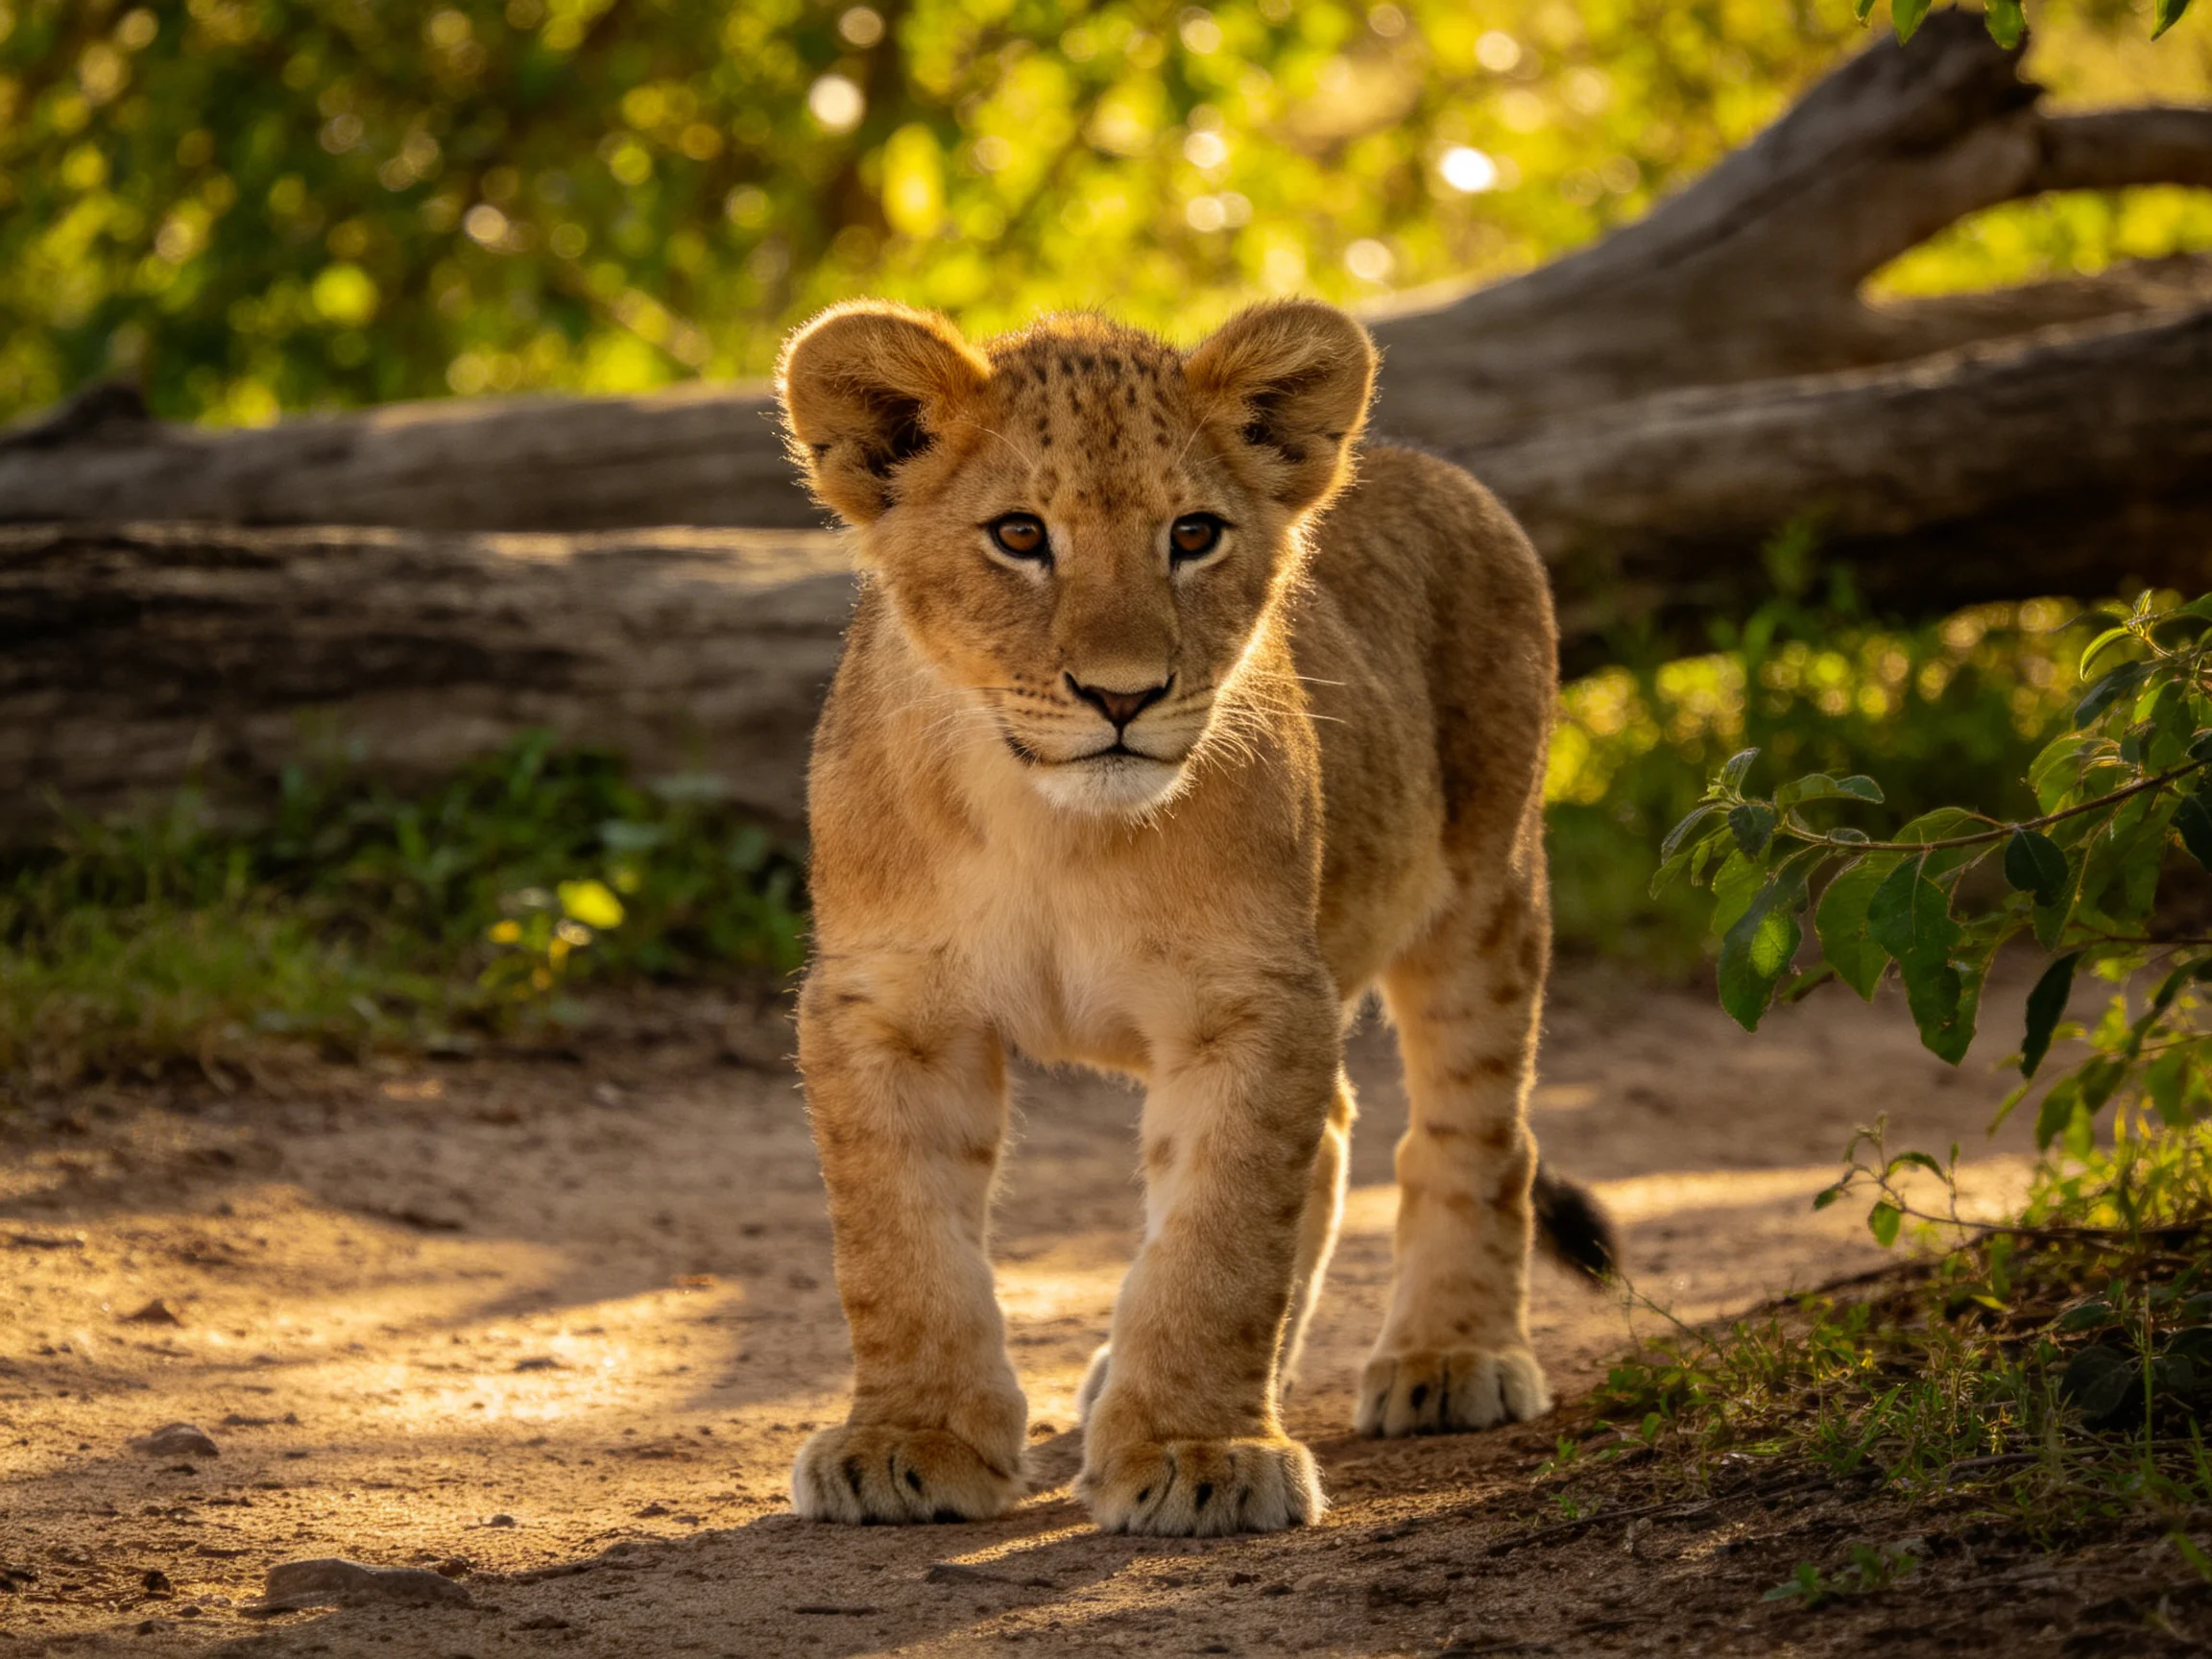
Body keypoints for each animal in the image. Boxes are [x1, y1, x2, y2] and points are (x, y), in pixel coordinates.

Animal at [776, 297, 1611, 1539]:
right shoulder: (889, 1008)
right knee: (1334, 1132)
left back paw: (1449, 1358)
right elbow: (900, 1244)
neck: (1052, 830)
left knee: (1472, 1131)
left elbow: (1219, 1244)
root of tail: (1436, 468)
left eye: (1194, 535)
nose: (1122, 695)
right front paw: (910, 1442)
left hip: (1486, 888)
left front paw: (1195, 1452)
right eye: (1019, 535)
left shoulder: (1249, 1002)